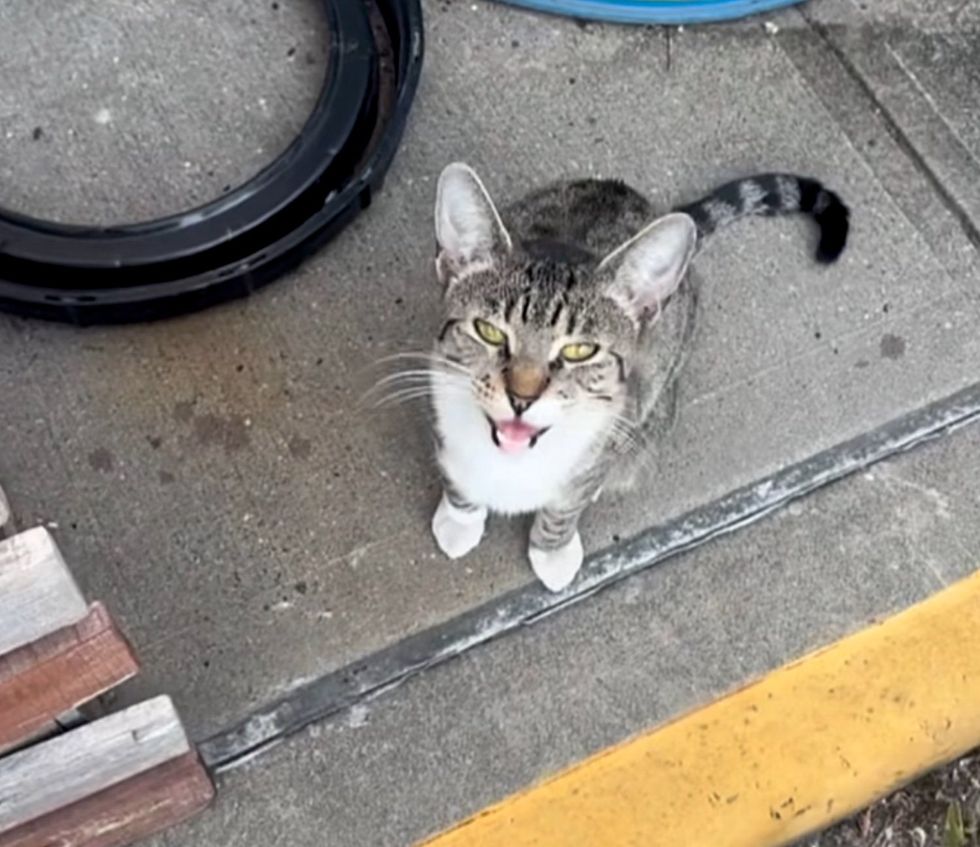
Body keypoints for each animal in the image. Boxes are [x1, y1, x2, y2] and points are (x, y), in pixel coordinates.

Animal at [424, 162, 848, 592]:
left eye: (580, 351)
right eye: (489, 331)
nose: (521, 397)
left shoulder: (608, 439)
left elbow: (566, 507)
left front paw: (553, 551)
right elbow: (456, 479)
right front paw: (460, 520)